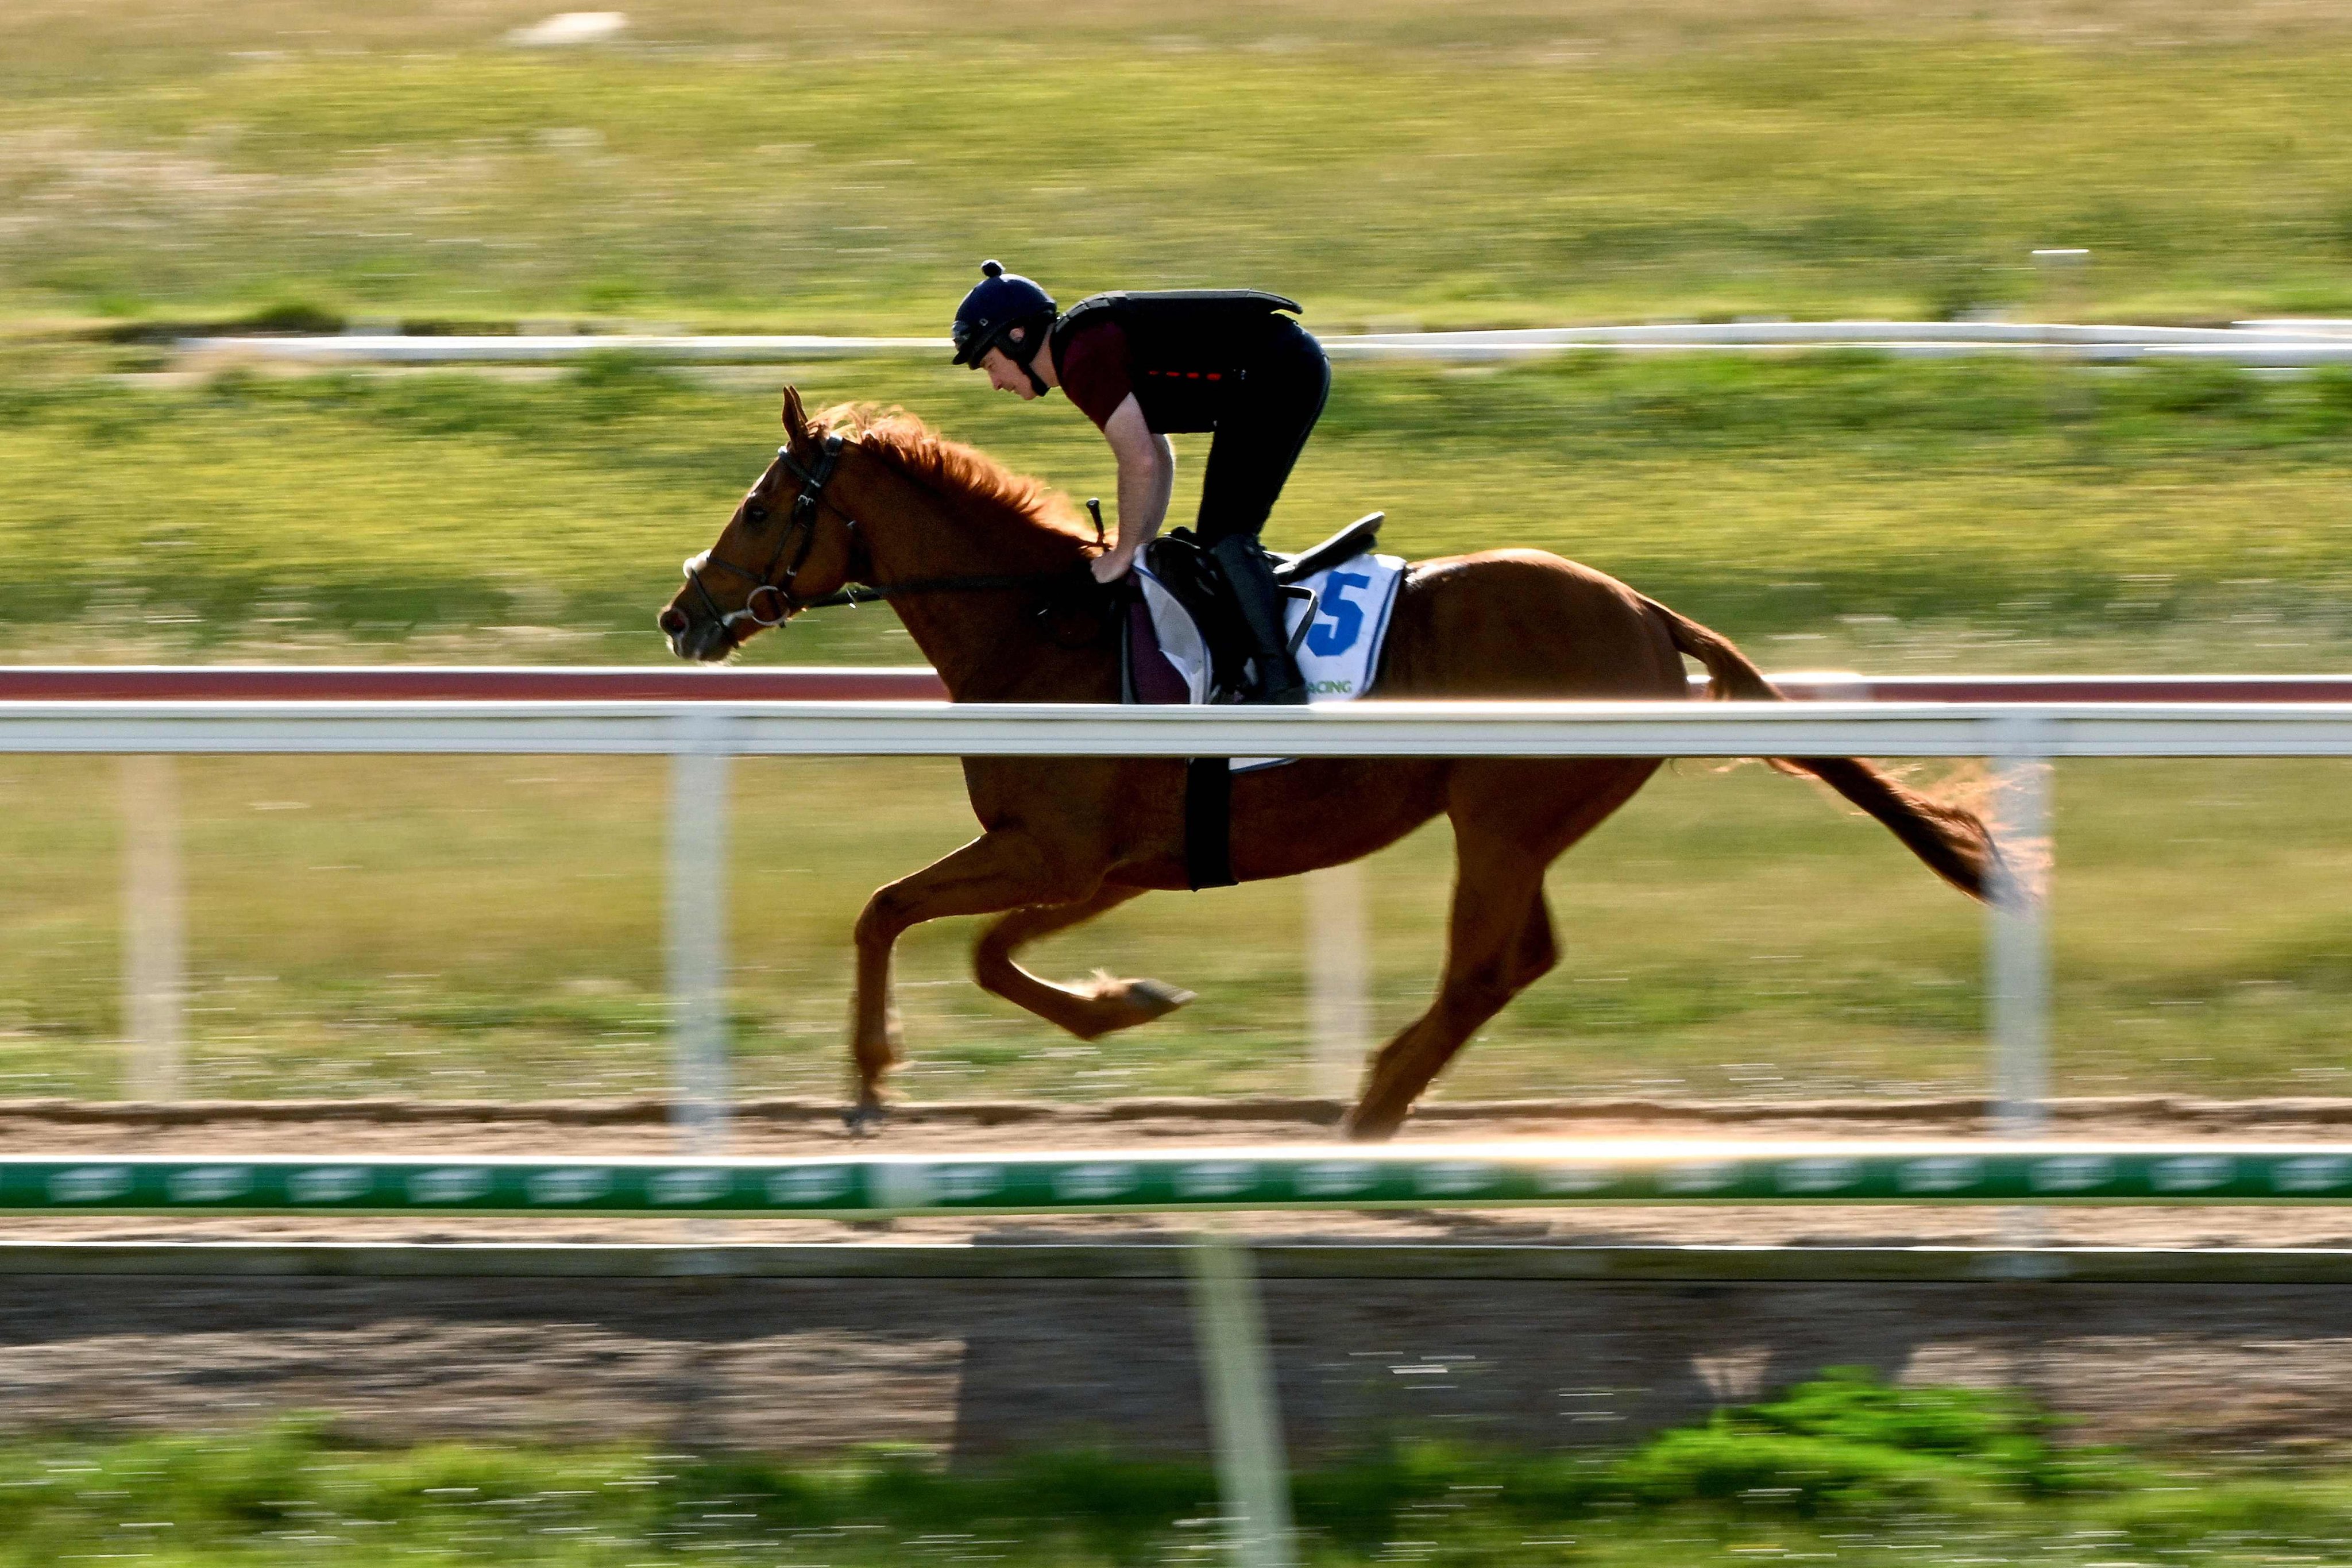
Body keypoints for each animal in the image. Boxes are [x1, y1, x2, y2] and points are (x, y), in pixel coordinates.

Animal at [663, 392, 2003, 1142]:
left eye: (761, 507)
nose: (682, 615)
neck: (1041, 625)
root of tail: (1641, 609)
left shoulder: (1053, 848)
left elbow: (885, 912)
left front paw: (870, 1081)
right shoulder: (1112, 862)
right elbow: (986, 952)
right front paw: (1123, 1000)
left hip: (1504, 813)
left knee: (1487, 965)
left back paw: (1372, 1102)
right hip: (1515, 822)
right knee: (1518, 960)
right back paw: (1382, 1094)